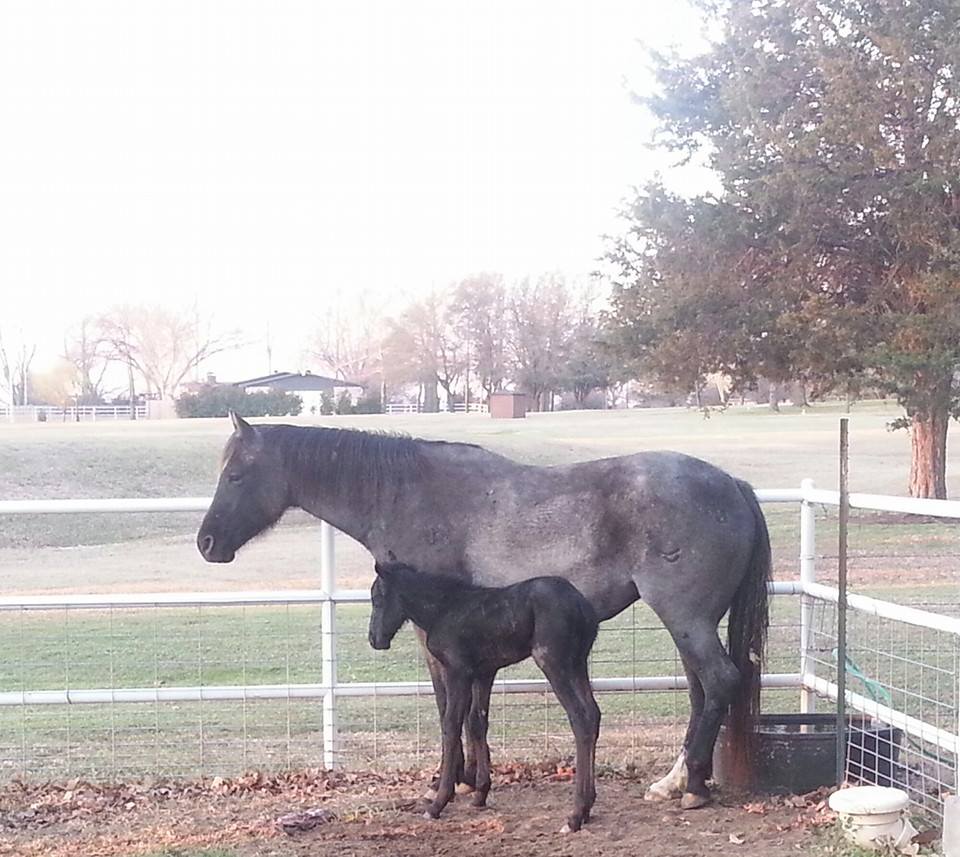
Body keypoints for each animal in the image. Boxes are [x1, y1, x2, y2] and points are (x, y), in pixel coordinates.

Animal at [368, 561, 601, 832]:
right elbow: (477, 723)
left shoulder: (457, 672)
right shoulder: (483, 673)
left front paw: (438, 803)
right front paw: (480, 793)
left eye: (377, 598)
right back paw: (587, 808)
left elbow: (451, 724)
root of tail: (581, 604)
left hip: (554, 663)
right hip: (577, 664)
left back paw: (575, 815)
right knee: (593, 715)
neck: (444, 609)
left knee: (580, 718)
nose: (374, 639)